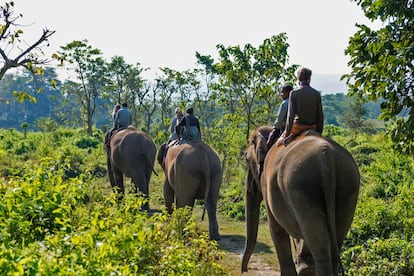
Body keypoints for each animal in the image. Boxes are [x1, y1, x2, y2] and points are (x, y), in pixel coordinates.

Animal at [241, 126, 360, 274]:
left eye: (246, 159)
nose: (245, 270)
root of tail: (327, 160)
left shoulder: (266, 184)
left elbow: (276, 228)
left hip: (299, 185)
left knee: (317, 240)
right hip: (348, 186)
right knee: (337, 237)